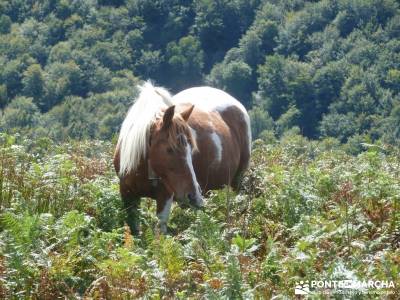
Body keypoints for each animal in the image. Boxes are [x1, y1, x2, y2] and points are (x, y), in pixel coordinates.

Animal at [113, 82, 250, 234]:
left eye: (191, 150)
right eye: (169, 149)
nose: (193, 195)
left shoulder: (165, 197)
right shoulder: (128, 196)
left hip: (236, 182)